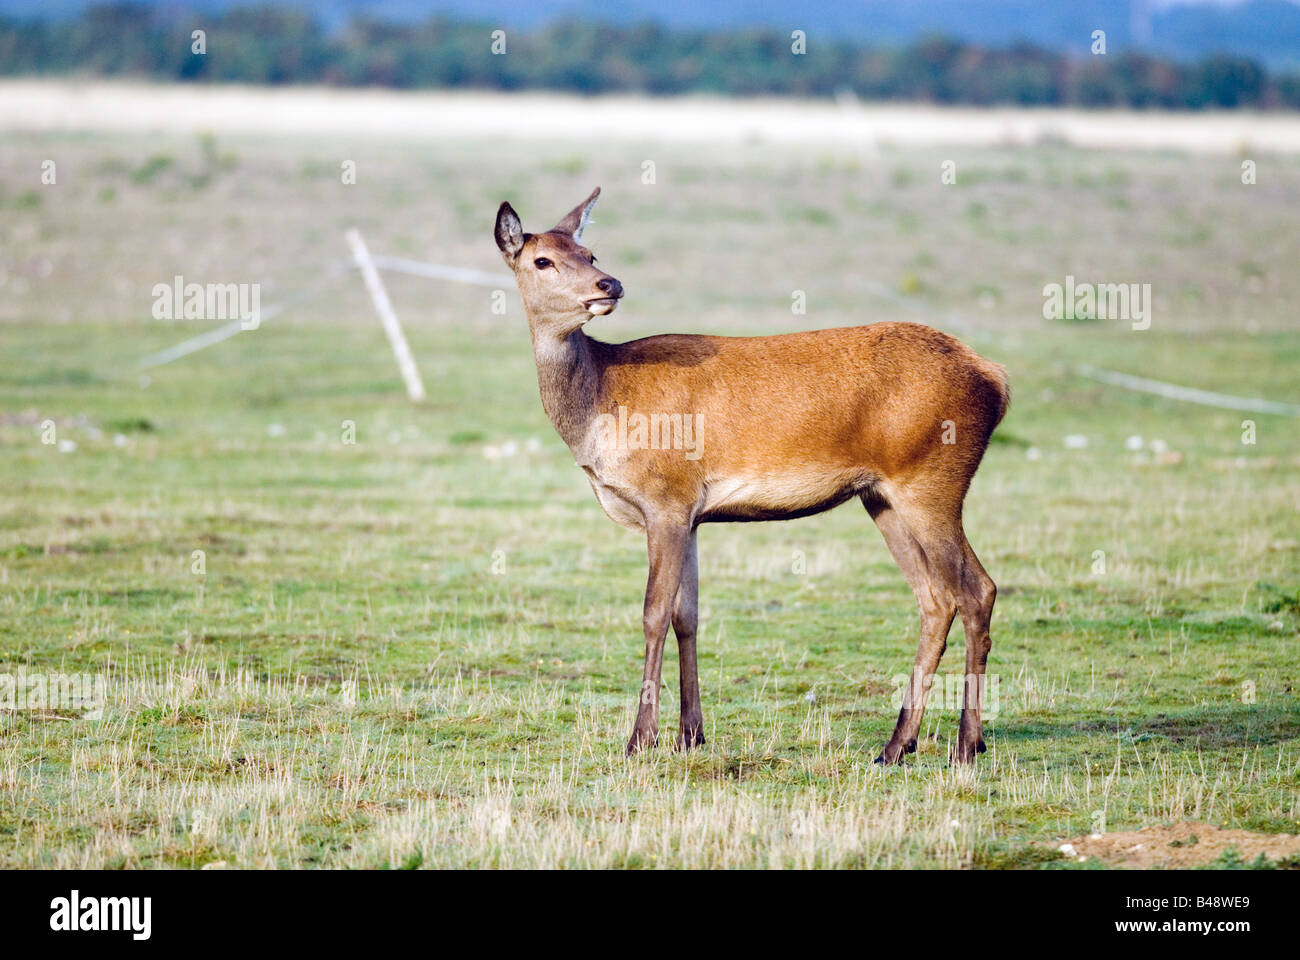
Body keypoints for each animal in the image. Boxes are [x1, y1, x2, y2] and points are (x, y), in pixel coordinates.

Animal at [491, 187, 1008, 764]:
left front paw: (639, 739)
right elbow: (687, 616)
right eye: (543, 259)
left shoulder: (665, 498)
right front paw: (690, 734)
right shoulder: (692, 514)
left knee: (977, 590)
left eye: (590, 253)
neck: (601, 404)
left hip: (931, 481)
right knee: (936, 600)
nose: (610, 284)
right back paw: (897, 745)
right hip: (882, 496)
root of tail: (996, 379)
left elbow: (653, 612)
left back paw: (967, 743)